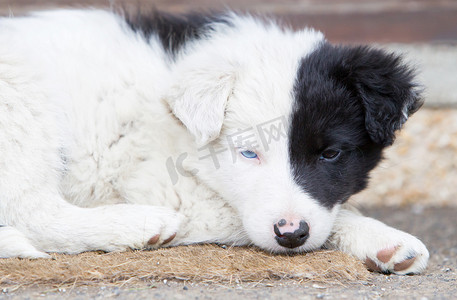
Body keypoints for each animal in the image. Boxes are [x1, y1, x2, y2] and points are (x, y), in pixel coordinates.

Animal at [0, 8, 428, 274]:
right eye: (248, 153)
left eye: (331, 154)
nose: (291, 234)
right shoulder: (165, 185)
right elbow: (248, 214)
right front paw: (382, 235)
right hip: (21, 97)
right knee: (33, 211)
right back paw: (141, 224)